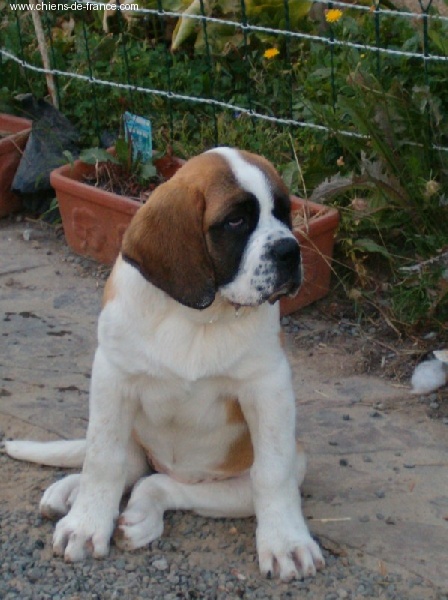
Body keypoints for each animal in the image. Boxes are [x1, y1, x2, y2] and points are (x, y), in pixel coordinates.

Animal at [6, 147, 324, 580]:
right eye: (236, 221)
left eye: (284, 213)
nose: (290, 252)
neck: (197, 316)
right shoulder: (113, 376)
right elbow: (102, 458)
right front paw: (86, 524)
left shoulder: (268, 385)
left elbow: (273, 473)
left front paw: (286, 544)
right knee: (126, 465)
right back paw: (70, 491)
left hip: (277, 467)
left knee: (160, 485)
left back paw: (141, 514)